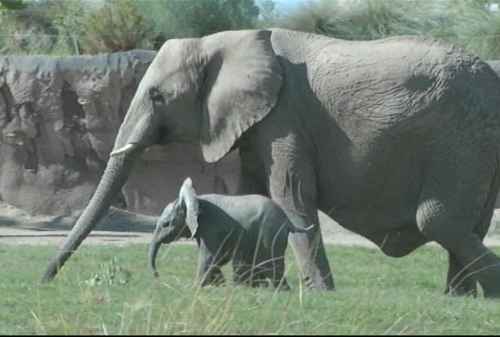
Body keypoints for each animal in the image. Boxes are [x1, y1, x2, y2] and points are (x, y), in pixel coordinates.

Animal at [149, 176, 312, 288]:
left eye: (166, 224)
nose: (158, 276)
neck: (196, 199)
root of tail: (287, 220)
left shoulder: (211, 226)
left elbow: (209, 256)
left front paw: (195, 288)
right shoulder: (204, 230)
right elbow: (216, 258)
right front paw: (218, 285)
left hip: (271, 233)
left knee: (272, 264)